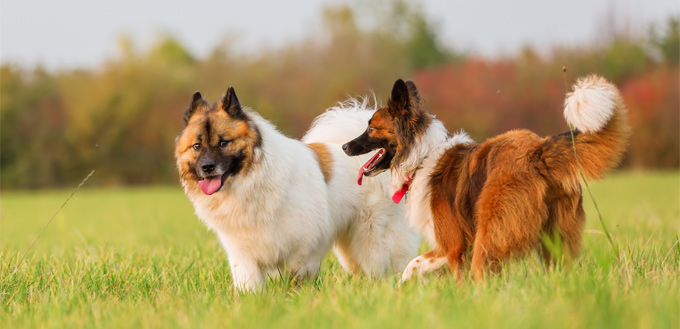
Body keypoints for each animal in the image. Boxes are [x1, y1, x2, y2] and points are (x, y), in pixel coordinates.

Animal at [174, 87, 420, 290]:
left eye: (224, 143)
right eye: (197, 146)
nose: (207, 167)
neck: (249, 181)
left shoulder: (302, 247)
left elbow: (296, 277)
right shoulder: (243, 252)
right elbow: (249, 283)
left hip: (373, 240)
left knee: (385, 266)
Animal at [342, 75, 628, 280]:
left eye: (371, 128)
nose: (344, 146)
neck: (422, 157)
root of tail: (538, 149)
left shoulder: (455, 246)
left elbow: (430, 271)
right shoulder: (450, 247)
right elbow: (413, 265)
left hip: (490, 237)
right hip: (555, 241)